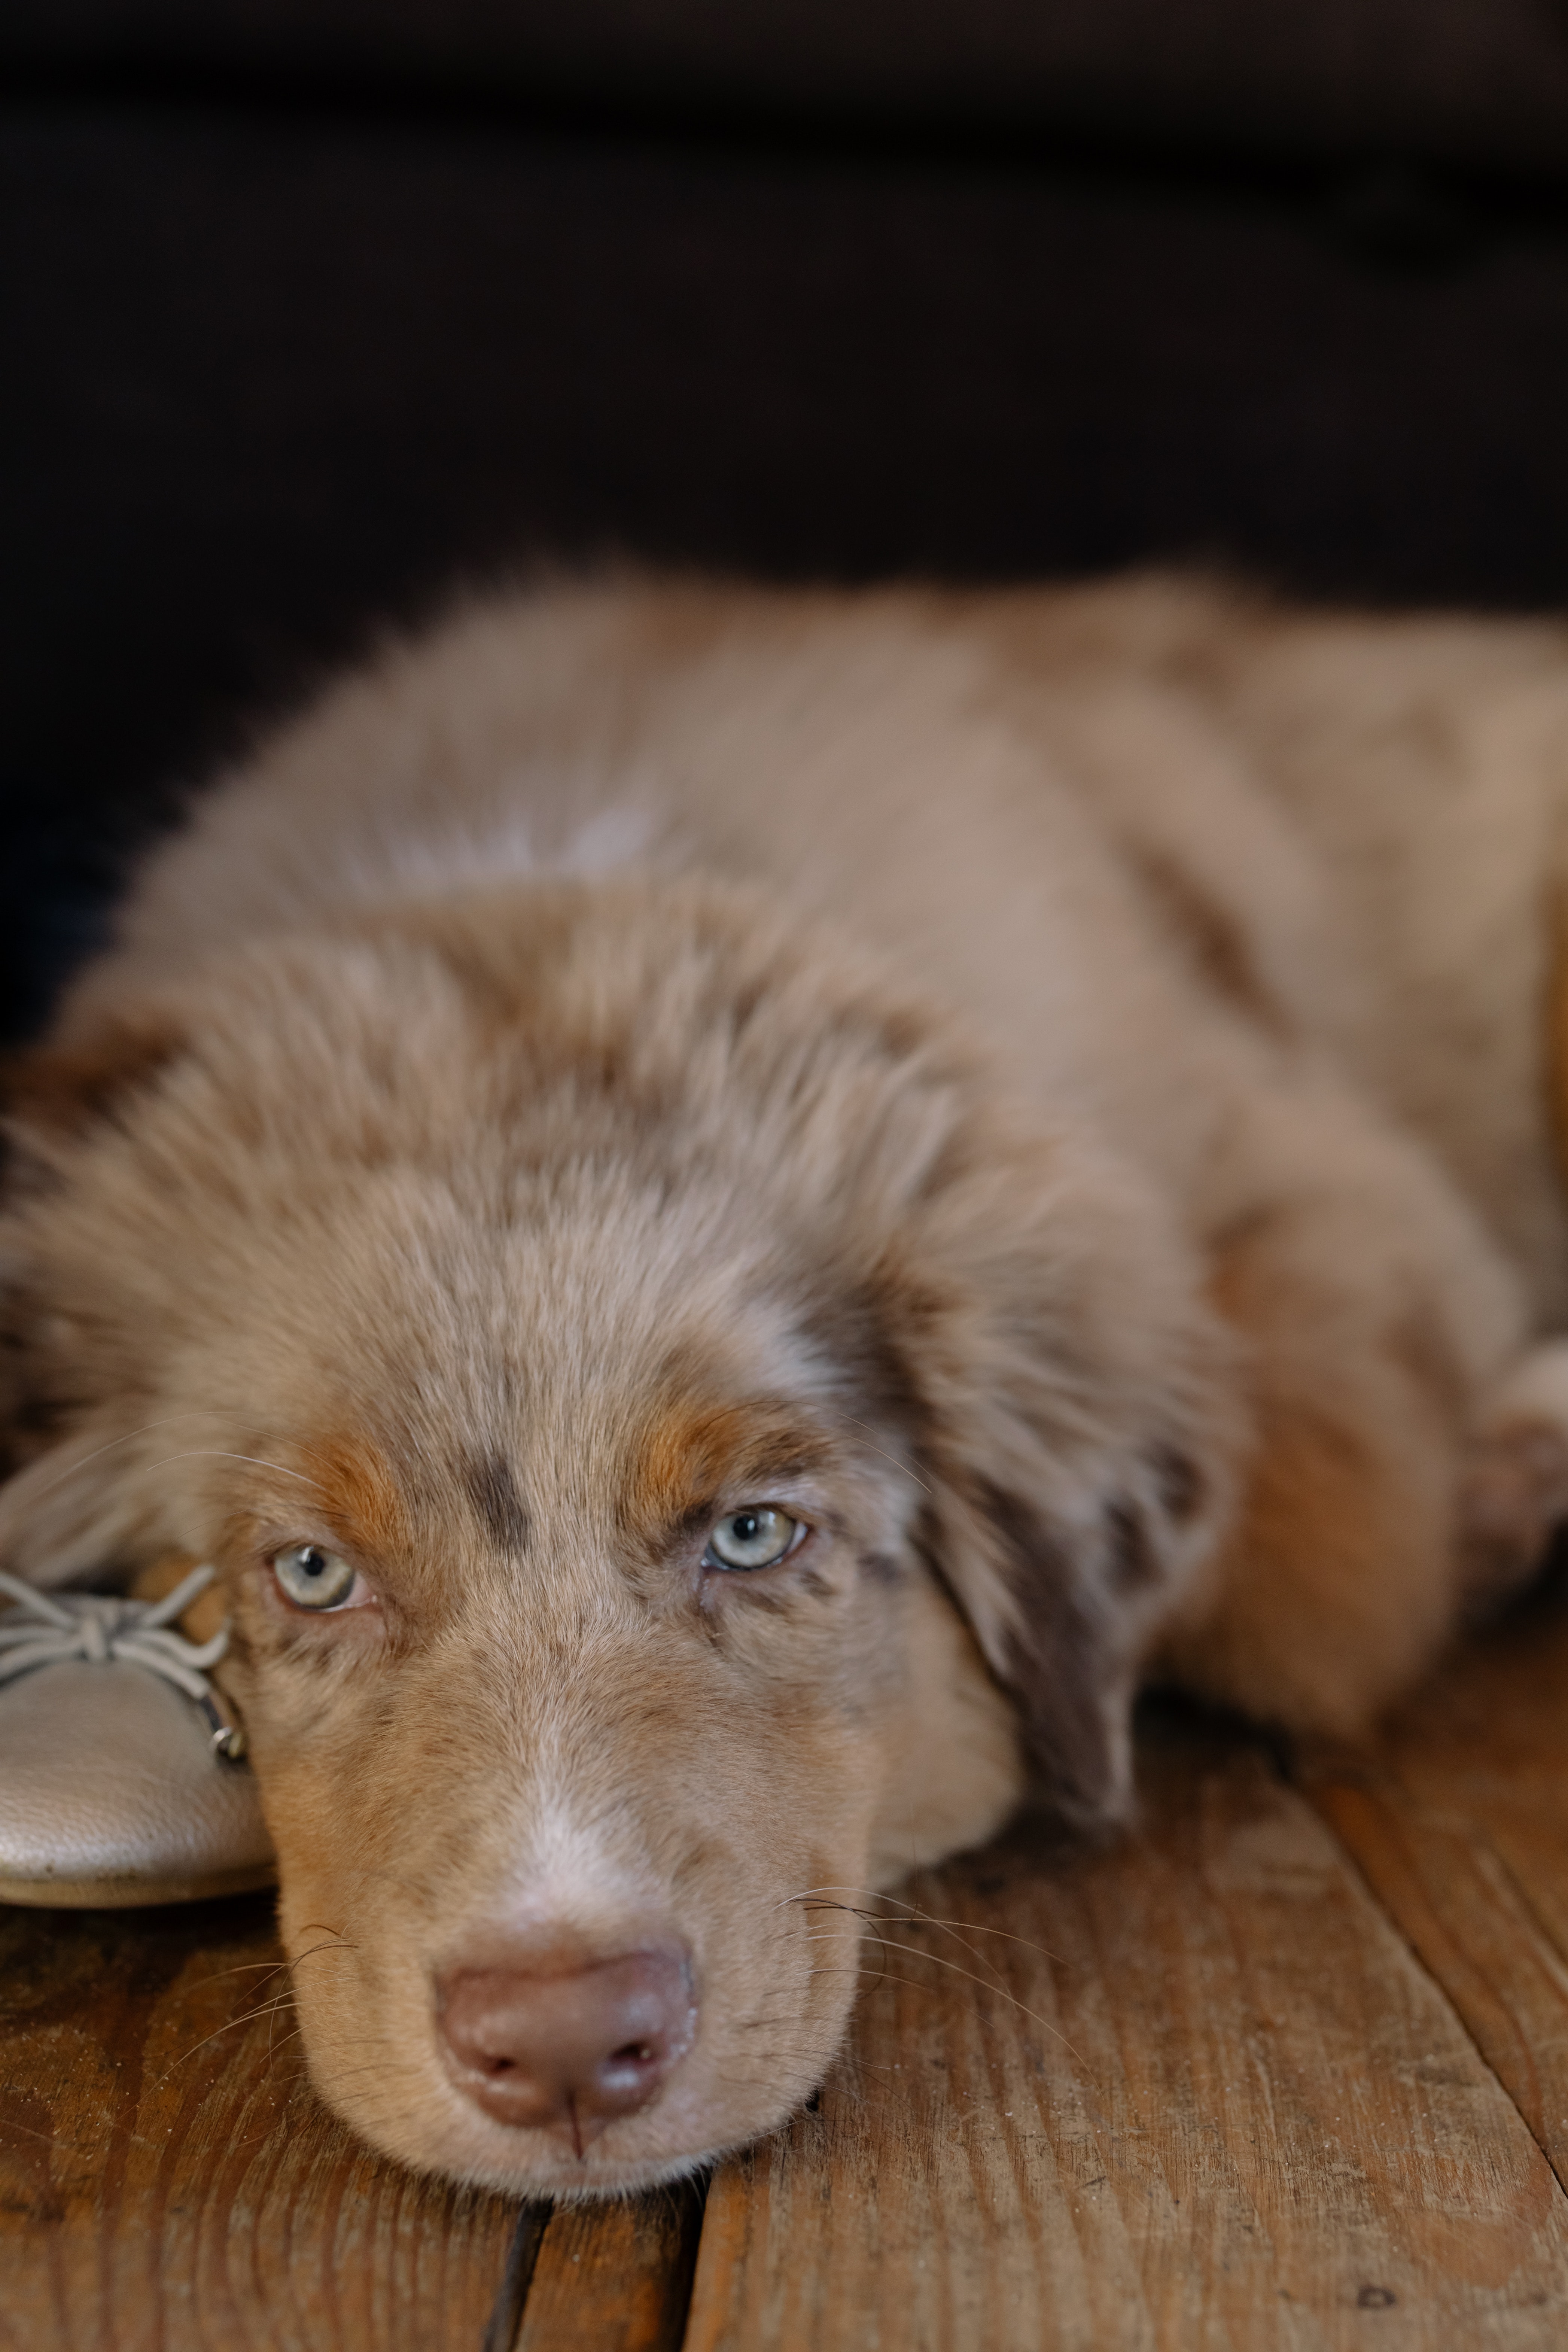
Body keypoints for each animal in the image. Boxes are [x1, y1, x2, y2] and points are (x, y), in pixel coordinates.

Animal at [3, 578, 1568, 2192]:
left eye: (754, 1531)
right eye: (309, 1570)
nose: (564, 2043)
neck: (558, 893)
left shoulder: (1327, 1212)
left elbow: (1309, 1564)